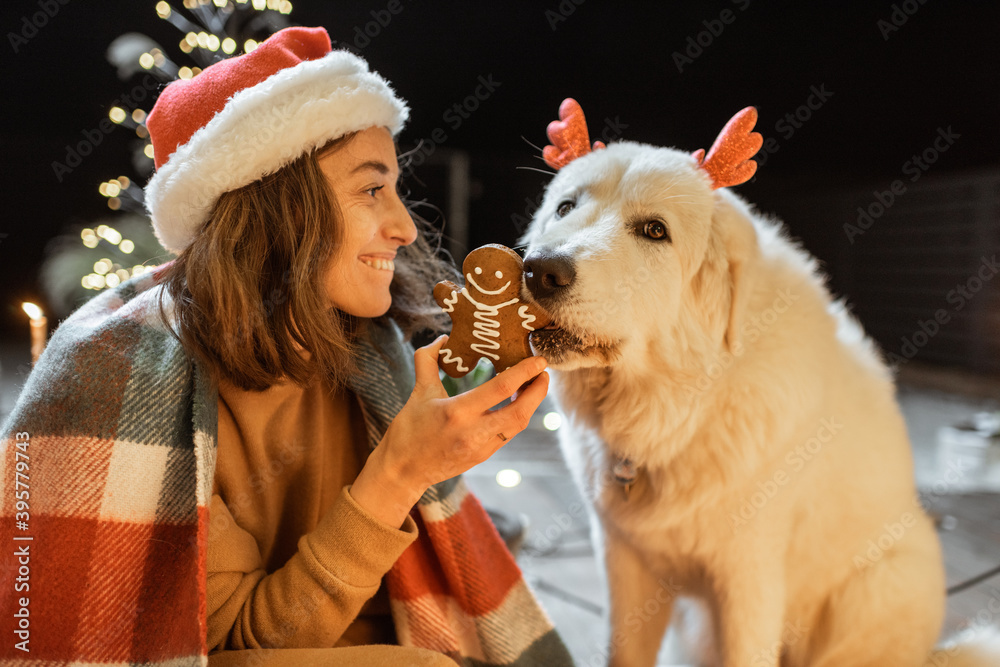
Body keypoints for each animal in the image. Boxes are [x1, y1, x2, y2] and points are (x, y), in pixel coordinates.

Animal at [520, 100, 996, 667]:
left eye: (655, 231)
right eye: (565, 208)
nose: (539, 270)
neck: (681, 410)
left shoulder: (748, 575)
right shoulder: (625, 562)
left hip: (879, 585)